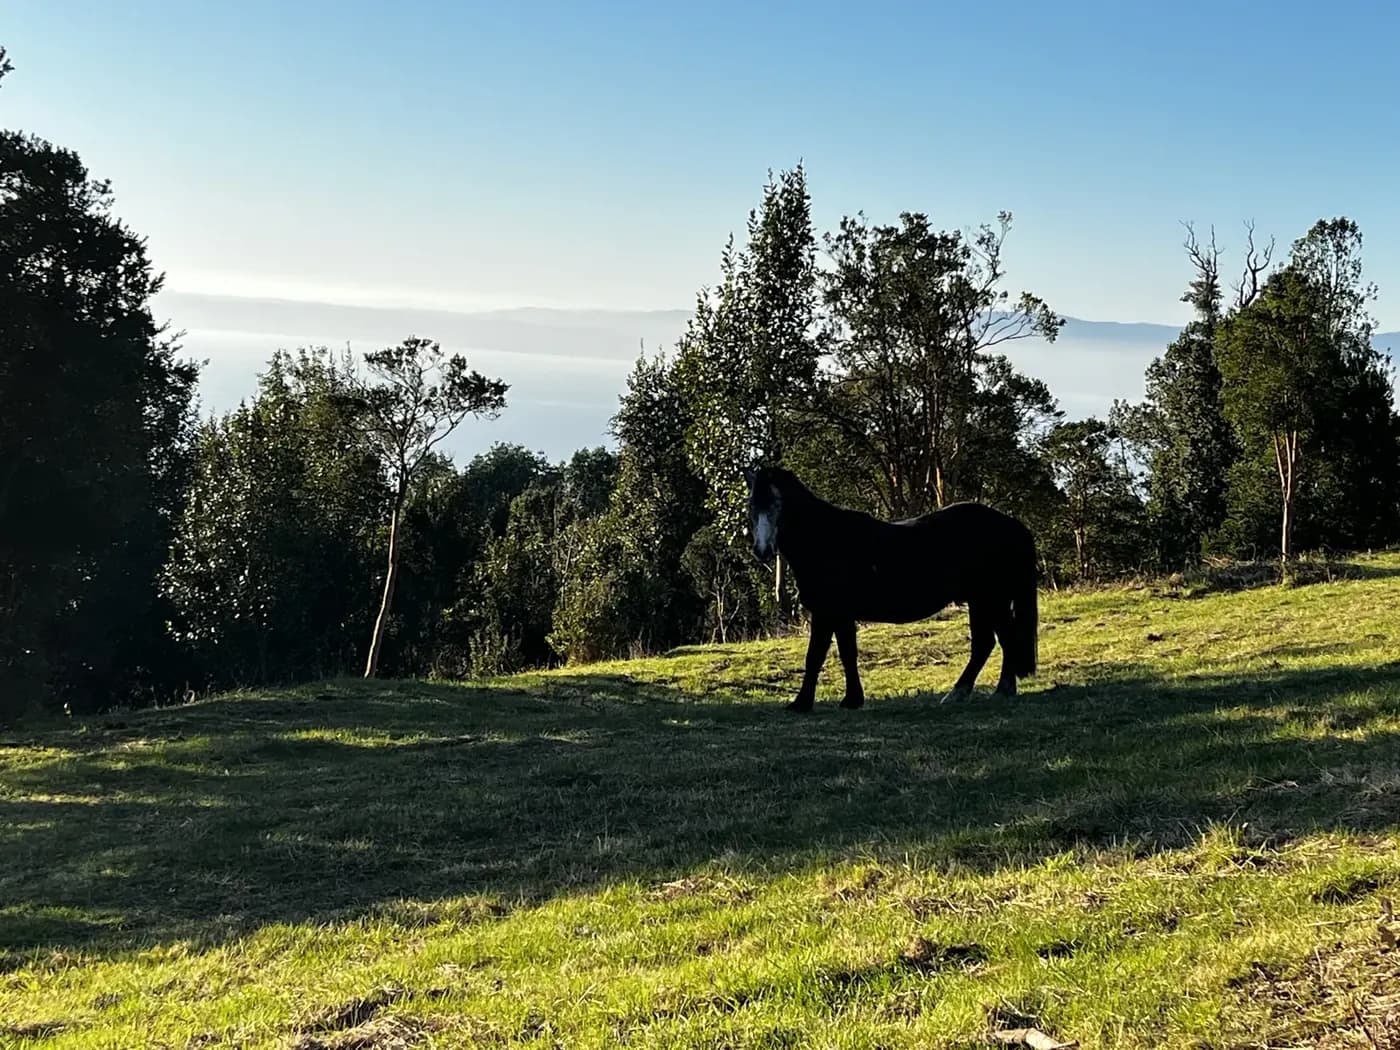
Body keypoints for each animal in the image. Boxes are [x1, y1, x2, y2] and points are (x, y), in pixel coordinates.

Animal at [743, 465, 1040, 711]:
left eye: (778, 504)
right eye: (751, 506)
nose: (762, 550)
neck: (826, 540)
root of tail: (1012, 525)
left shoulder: (827, 613)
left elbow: (815, 656)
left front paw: (802, 703)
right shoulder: (840, 614)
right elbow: (847, 653)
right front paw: (852, 700)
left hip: (992, 599)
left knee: (1003, 640)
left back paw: (1001, 691)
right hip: (981, 600)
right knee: (985, 644)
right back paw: (960, 693)